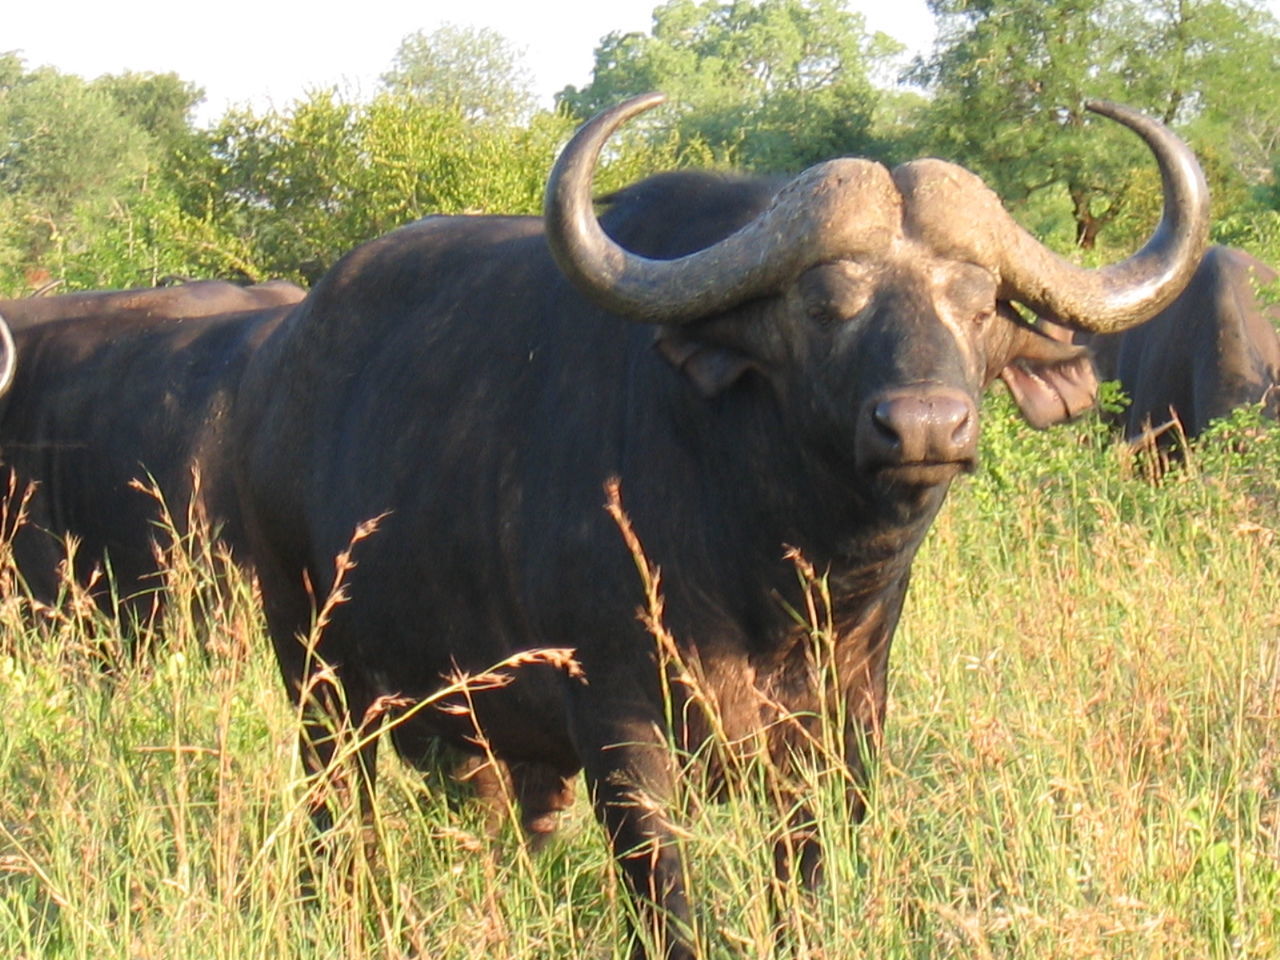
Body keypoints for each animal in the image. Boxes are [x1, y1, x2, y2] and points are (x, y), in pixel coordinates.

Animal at [232, 92, 1208, 960]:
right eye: (825, 305)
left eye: (979, 306)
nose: (926, 426)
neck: (771, 577)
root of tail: (281, 362)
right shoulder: (621, 729)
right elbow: (666, 901)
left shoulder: (844, 731)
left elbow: (803, 885)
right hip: (316, 680)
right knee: (338, 824)